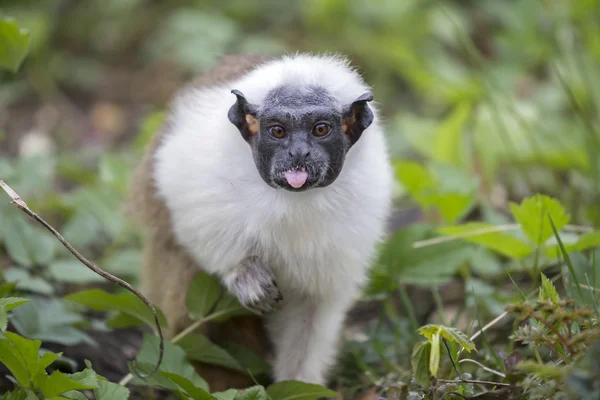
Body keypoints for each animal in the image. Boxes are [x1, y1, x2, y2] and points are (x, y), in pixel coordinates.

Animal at [127, 53, 394, 390]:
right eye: (277, 131)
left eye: (320, 129)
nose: (298, 153)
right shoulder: (199, 164)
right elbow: (186, 210)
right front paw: (242, 273)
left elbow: (312, 308)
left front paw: (298, 383)